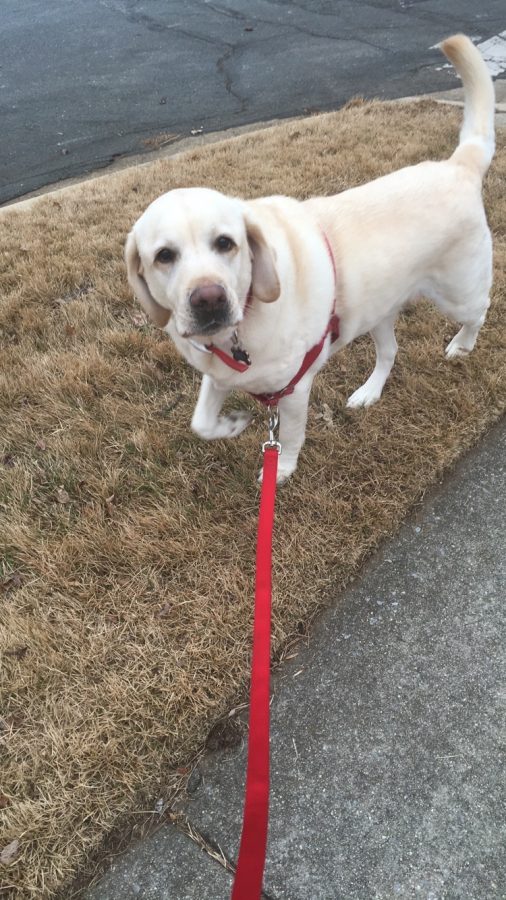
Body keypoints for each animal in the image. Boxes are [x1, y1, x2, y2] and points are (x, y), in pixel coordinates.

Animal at [125, 33, 494, 486]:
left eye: (226, 243)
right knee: (389, 352)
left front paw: (280, 471)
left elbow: (288, 438)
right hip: (376, 309)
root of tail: (459, 164)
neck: (241, 327)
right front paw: (230, 424)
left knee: (480, 311)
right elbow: (201, 422)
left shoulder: (293, 390)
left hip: (457, 292)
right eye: (164, 256)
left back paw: (462, 345)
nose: (209, 299)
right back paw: (368, 392)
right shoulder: (220, 374)